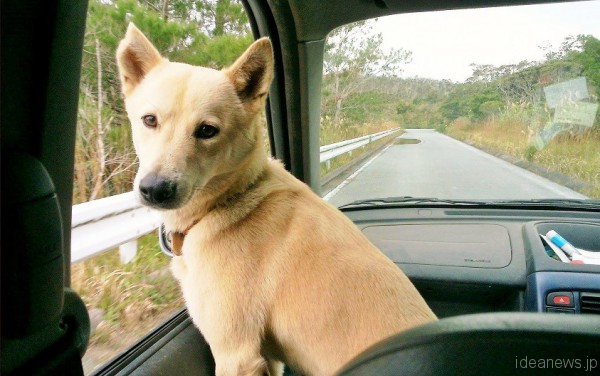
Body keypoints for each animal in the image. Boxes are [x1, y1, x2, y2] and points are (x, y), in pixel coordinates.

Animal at [116, 24, 436, 376]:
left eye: (207, 130)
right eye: (149, 120)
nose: (154, 190)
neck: (233, 197)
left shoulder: (236, 353)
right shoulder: (267, 357)